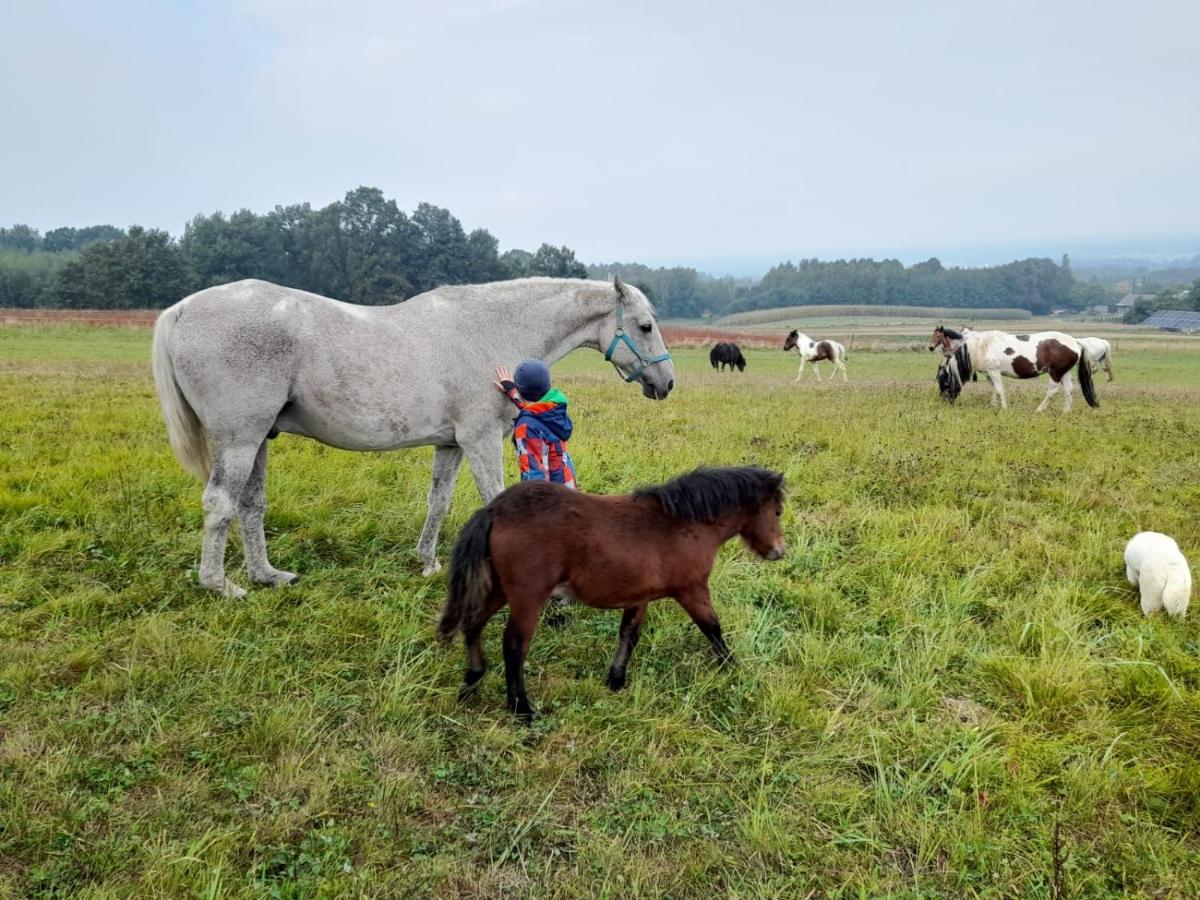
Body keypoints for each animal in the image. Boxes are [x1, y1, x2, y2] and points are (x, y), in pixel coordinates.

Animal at [152, 278, 676, 595]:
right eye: (646, 325)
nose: (667, 383)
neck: (492, 329)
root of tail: (182, 309)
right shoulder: (481, 439)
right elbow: (495, 498)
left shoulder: (451, 444)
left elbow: (438, 502)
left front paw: (426, 562)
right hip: (239, 441)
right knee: (220, 503)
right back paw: (221, 586)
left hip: (259, 440)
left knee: (250, 505)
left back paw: (267, 575)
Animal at [439, 468, 787, 724]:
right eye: (778, 511)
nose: (779, 552)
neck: (684, 524)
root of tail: (493, 509)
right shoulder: (692, 589)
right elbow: (712, 627)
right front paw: (732, 667)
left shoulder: (639, 596)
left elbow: (628, 635)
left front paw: (616, 680)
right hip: (528, 598)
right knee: (513, 646)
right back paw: (521, 708)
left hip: (498, 589)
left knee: (473, 623)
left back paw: (472, 682)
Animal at [931, 326, 1099, 415]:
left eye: (944, 384)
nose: (945, 403)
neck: (981, 347)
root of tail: (1075, 342)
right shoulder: (990, 373)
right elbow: (993, 389)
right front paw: (993, 406)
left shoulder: (994, 371)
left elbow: (999, 389)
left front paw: (1004, 408)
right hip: (1064, 372)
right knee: (1068, 390)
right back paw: (1066, 412)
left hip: (1055, 373)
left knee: (1052, 391)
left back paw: (1039, 410)